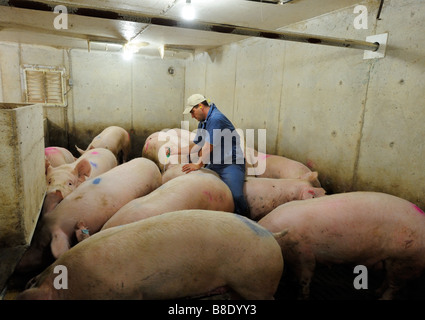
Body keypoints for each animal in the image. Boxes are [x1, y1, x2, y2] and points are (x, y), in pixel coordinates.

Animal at [258, 190, 425, 300]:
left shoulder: (303, 254)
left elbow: (305, 278)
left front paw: (302, 296)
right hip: (394, 262)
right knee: (389, 280)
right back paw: (376, 292)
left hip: (405, 260)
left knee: (393, 287)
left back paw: (381, 298)